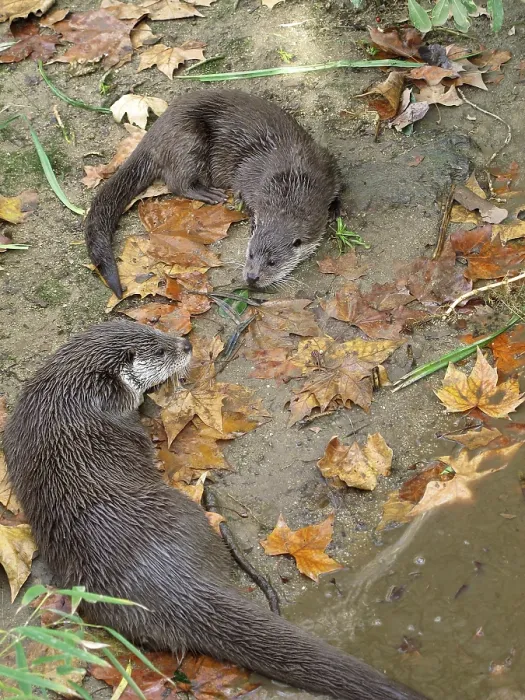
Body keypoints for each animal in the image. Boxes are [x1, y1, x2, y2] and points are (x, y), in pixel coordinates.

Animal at [85, 90, 341, 298]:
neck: (294, 180)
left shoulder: (326, 168)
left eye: (272, 262)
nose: (252, 277)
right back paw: (209, 194)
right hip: (188, 140)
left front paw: (337, 211)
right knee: (177, 181)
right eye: (250, 255)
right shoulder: (249, 175)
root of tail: (154, 131)